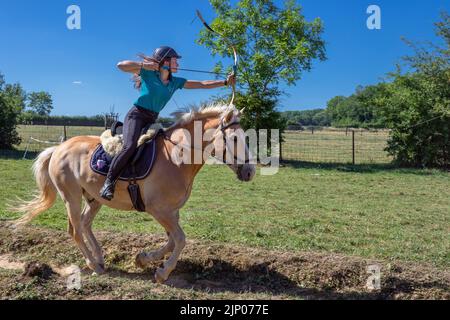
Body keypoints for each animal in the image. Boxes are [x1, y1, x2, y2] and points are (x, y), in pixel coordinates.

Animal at [14, 105, 255, 282]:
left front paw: (143, 259)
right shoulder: (159, 210)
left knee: (84, 224)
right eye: (234, 139)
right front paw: (162, 272)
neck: (177, 156)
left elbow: (171, 241)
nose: (250, 171)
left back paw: (99, 258)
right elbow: (180, 239)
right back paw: (93, 265)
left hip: (93, 199)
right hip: (70, 197)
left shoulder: (171, 211)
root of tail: (58, 148)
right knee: (75, 230)